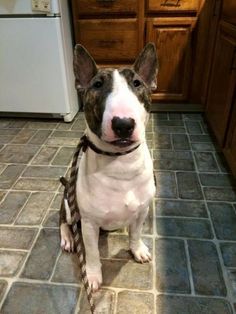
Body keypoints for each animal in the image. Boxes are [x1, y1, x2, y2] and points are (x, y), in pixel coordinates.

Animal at [60, 41, 159, 292]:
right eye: (97, 84)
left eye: (137, 83)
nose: (123, 124)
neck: (120, 164)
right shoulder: (88, 223)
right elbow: (92, 252)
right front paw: (93, 276)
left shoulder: (142, 210)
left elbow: (135, 233)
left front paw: (138, 250)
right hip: (68, 202)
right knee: (63, 220)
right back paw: (67, 238)